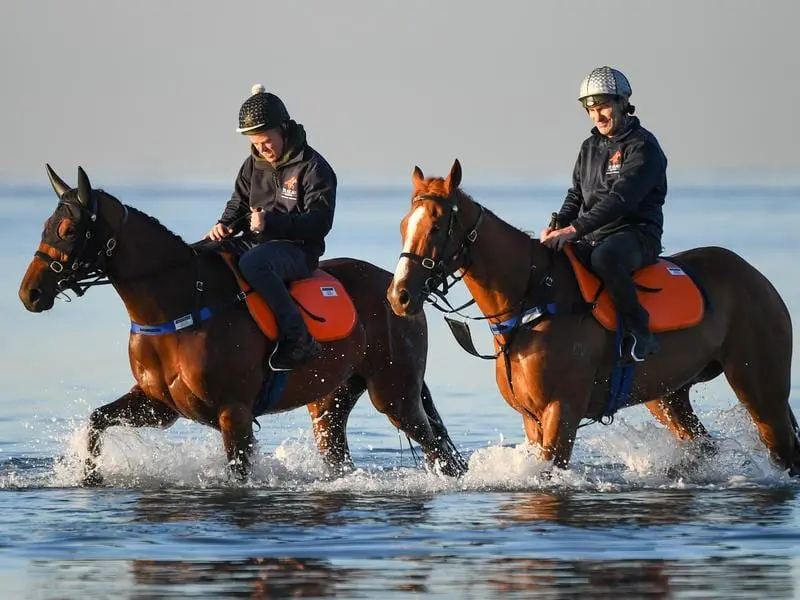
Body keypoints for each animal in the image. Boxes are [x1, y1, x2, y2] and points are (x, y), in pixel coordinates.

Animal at [17, 166, 468, 486]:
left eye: (68, 229)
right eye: (45, 226)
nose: (30, 293)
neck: (181, 303)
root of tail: (397, 288)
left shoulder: (232, 414)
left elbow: (237, 472)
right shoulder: (158, 406)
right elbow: (96, 420)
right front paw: (90, 475)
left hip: (395, 396)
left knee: (439, 452)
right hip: (330, 402)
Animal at [386, 161, 800, 478]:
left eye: (436, 226)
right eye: (404, 224)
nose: (399, 295)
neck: (533, 302)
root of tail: (756, 278)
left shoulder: (561, 412)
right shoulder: (532, 418)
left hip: (760, 387)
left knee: (783, 447)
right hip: (670, 396)